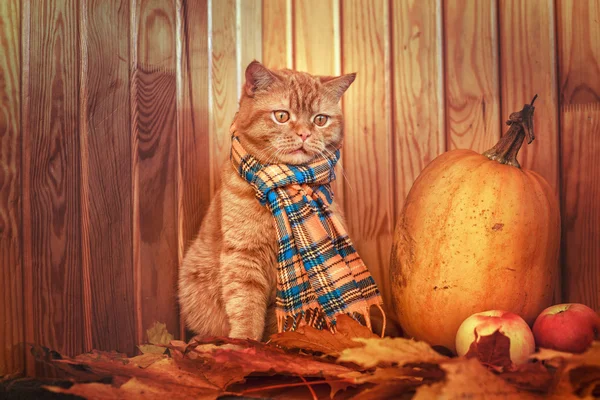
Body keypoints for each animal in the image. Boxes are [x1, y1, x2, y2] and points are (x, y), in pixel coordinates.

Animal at [178, 61, 356, 340]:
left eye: (320, 120)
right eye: (282, 116)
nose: (304, 134)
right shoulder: (243, 257)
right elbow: (246, 308)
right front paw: (244, 342)